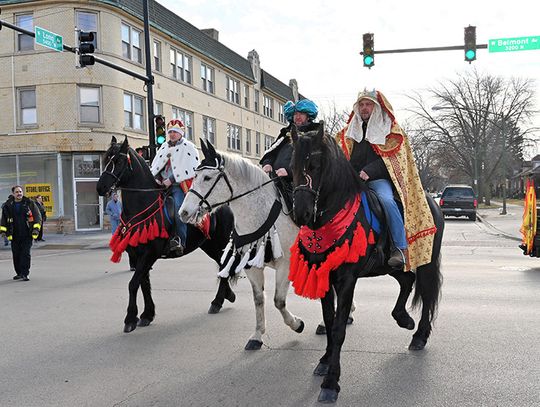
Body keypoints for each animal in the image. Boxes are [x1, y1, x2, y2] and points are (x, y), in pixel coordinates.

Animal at [96, 135, 235, 334]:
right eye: (106, 159)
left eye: (119, 161)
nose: (101, 187)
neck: (144, 205)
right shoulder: (137, 253)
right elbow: (144, 284)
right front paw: (147, 315)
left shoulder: (149, 253)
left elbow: (133, 284)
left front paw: (130, 318)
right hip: (208, 244)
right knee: (222, 265)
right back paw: (226, 296)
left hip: (221, 241)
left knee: (225, 264)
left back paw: (217, 302)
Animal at [180, 141, 304, 350]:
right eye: (194, 176)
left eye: (207, 177)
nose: (183, 212)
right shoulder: (252, 267)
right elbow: (259, 300)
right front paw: (257, 335)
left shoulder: (285, 264)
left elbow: (278, 301)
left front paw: (296, 324)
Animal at [288, 125, 440, 404]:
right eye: (292, 166)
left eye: (316, 165)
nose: (301, 213)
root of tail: (432, 201)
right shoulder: (325, 276)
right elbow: (329, 320)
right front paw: (325, 361)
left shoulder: (347, 280)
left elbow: (338, 328)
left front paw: (331, 383)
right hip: (389, 266)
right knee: (407, 280)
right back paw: (403, 319)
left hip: (426, 261)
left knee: (426, 294)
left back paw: (419, 336)